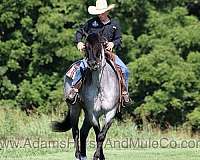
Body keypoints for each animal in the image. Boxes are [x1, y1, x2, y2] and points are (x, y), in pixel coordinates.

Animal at [52, 32, 119, 160]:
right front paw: (97, 156)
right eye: (86, 46)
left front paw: (99, 156)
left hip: (86, 114)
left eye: (99, 44)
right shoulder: (93, 113)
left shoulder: (110, 112)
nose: (92, 63)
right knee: (76, 131)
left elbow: (101, 135)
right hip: (75, 108)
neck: (100, 87)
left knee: (83, 132)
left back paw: (83, 155)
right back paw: (78, 154)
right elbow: (98, 134)